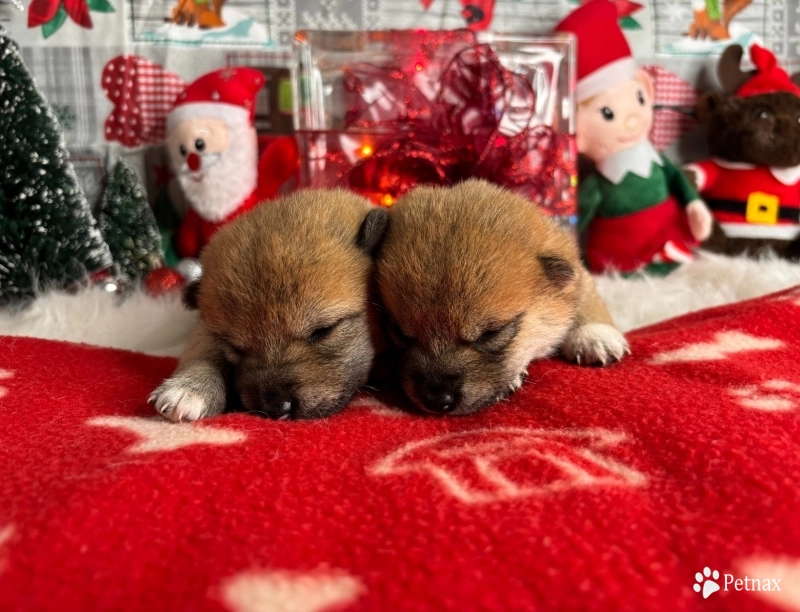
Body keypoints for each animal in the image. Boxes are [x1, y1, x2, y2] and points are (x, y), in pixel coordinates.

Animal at [151, 190, 390, 420]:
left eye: (323, 330)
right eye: (236, 348)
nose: (276, 408)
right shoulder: (205, 331)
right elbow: (205, 348)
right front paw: (190, 388)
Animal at [376, 178, 632, 416]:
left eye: (491, 333)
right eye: (399, 332)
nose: (438, 400)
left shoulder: (578, 274)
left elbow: (587, 300)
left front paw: (594, 336)